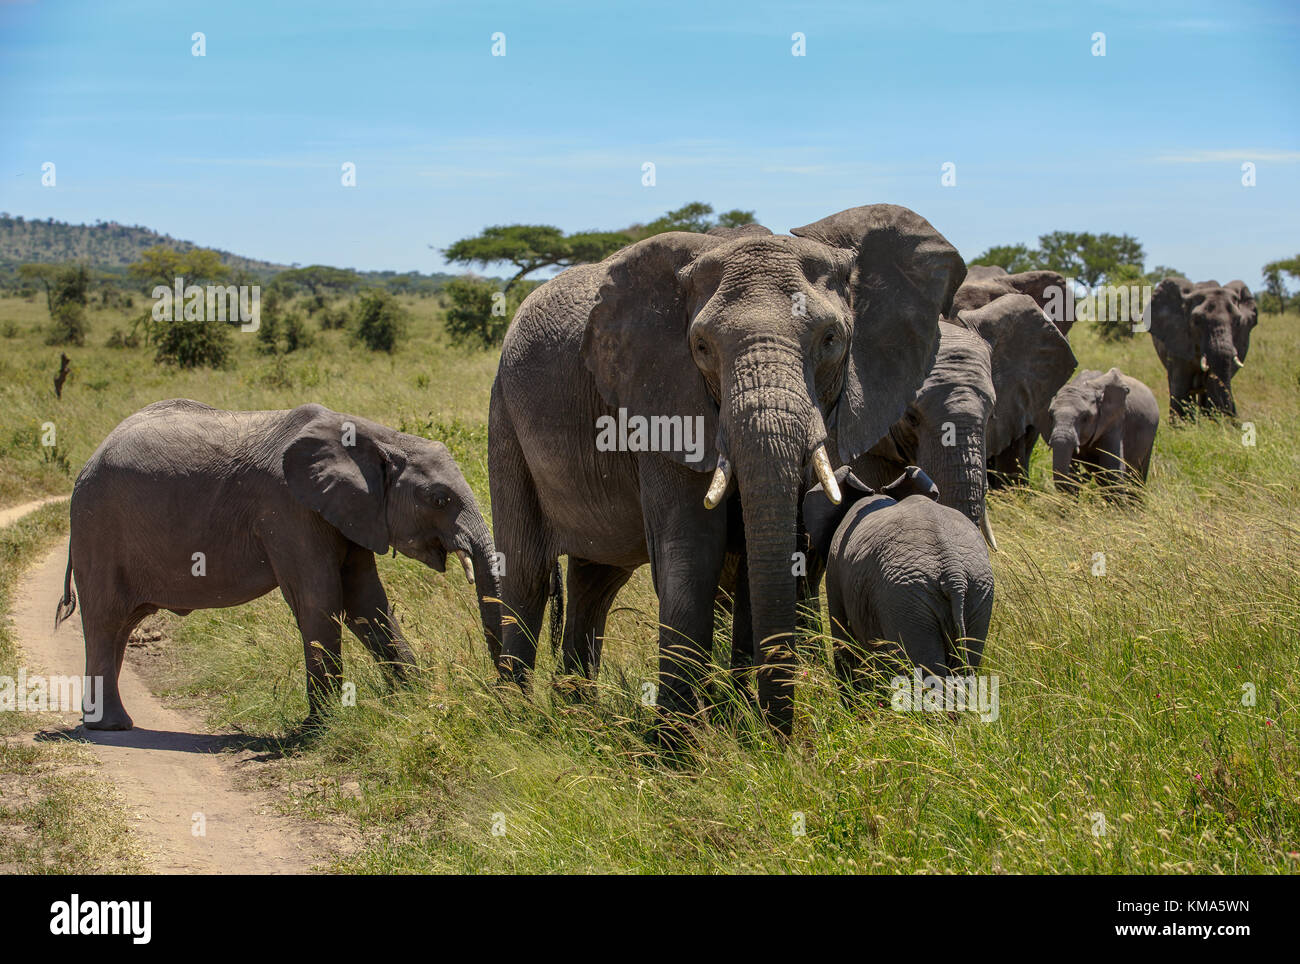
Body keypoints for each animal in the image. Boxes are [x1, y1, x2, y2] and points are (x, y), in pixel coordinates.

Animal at [53, 400, 496, 732]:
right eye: (439, 499)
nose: (496, 688)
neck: (376, 437)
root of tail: (87, 462)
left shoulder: (351, 510)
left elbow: (366, 600)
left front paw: (416, 700)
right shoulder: (287, 508)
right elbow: (321, 598)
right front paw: (321, 728)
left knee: (121, 627)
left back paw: (108, 723)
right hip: (97, 527)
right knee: (106, 620)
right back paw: (110, 727)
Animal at [491, 203, 972, 732]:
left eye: (830, 339)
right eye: (701, 346)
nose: (786, 736)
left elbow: (768, 551)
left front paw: (744, 726)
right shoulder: (662, 400)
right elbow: (691, 552)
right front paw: (678, 742)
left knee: (597, 579)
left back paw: (577, 713)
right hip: (504, 410)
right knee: (527, 571)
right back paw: (514, 717)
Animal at [1045, 368, 1159, 498]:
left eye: (1085, 418)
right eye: (1050, 416)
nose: (1085, 477)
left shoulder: (1114, 420)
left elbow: (1111, 468)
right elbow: (1071, 468)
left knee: (1137, 476)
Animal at [1154, 275, 1253, 418]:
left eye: (1238, 322)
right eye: (1197, 321)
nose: (1234, 417)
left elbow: (1213, 383)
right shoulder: (1177, 339)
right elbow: (1180, 387)